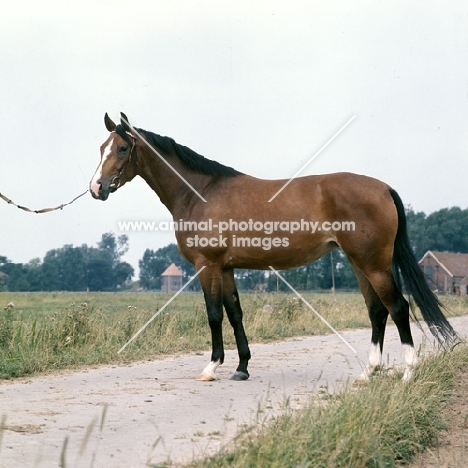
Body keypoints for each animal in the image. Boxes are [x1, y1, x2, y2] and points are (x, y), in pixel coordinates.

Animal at [89, 112, 456, 380]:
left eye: (122, 149)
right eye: (101, 147)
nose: (96, 187)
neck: (200, 193)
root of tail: (383, 188)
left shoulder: (207, 265)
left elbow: (213, 314)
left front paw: (212, 366)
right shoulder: (227, 268)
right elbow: (234, 313)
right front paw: (241, 368)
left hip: (374, 264)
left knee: (398, 307)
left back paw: (408, 373)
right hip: (358, 262)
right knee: (377, 310)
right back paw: (370, 372)